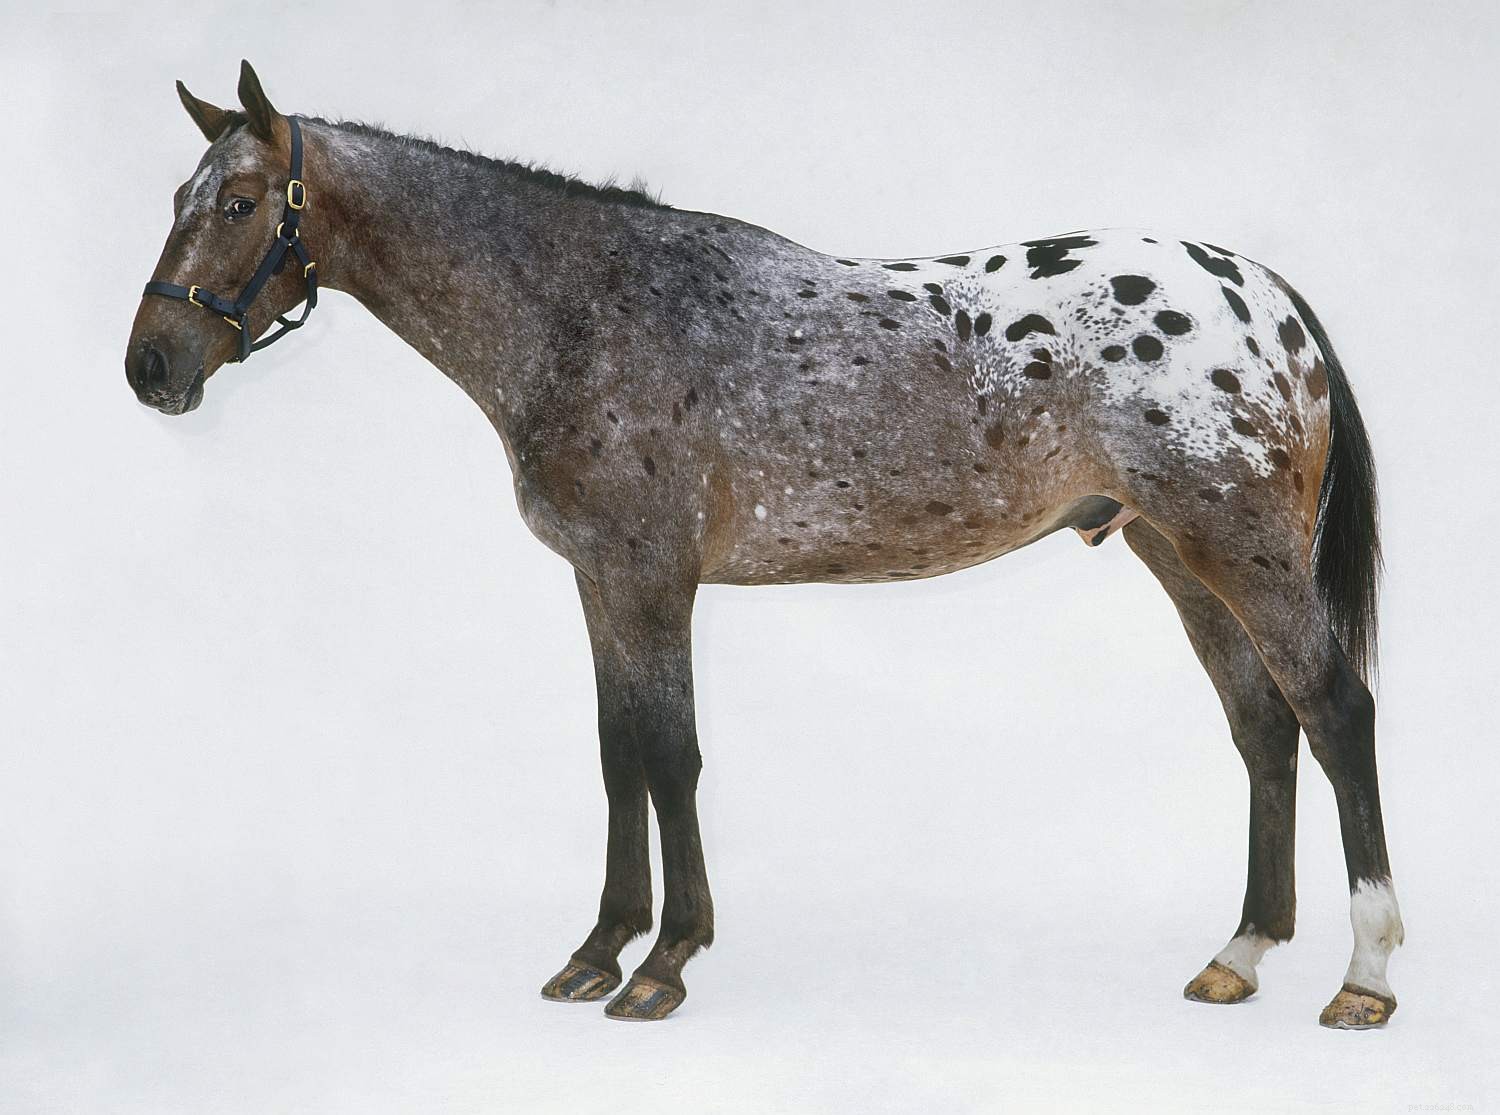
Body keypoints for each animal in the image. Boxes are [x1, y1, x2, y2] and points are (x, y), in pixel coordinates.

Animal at [125, 61, 1402, 1028]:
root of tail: (1267, 295)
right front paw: (597, 948)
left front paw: (664, 962)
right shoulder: (601, 581)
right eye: (181, 192)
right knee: (1263, 725)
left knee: (1336, 711)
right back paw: (1240, 952)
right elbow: (618, 756)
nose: (151, 365)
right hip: (1179, 558)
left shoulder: (653, 579)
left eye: (239, 203)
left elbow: (672, 756)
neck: (586, 307)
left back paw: (1365, 977)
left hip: (1240, 553)